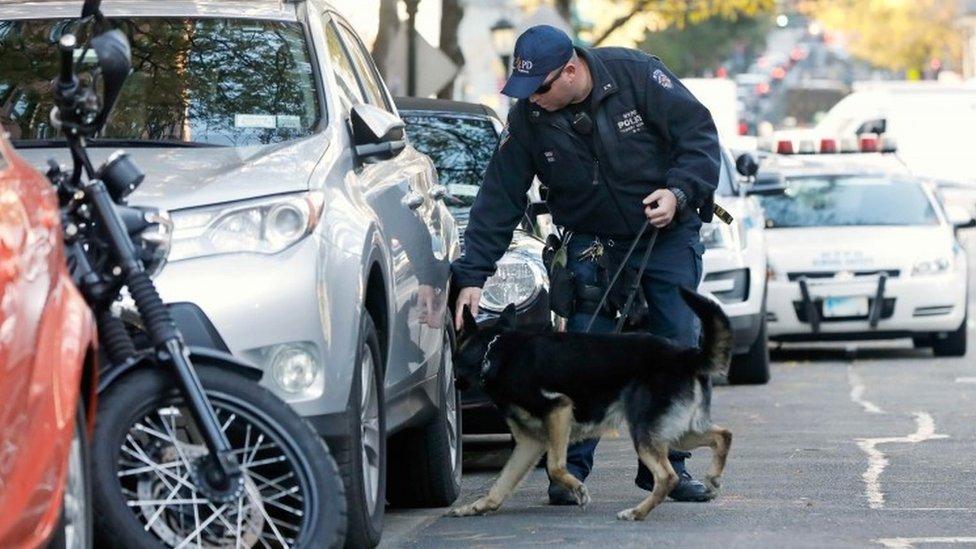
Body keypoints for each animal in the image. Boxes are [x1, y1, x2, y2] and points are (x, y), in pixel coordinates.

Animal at [450, 284, 732, 520]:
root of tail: (686, 354)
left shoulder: (559, 409)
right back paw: (713, 477)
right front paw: (478, 506)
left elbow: (555, 466)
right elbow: (502, 483)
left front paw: (578, 490)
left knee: (667, 476)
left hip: (646, 433)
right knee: (723, 435)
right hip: (677, 433)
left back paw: (637, 513)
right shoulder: (530, 443)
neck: (493, 352)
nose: (452, 381)